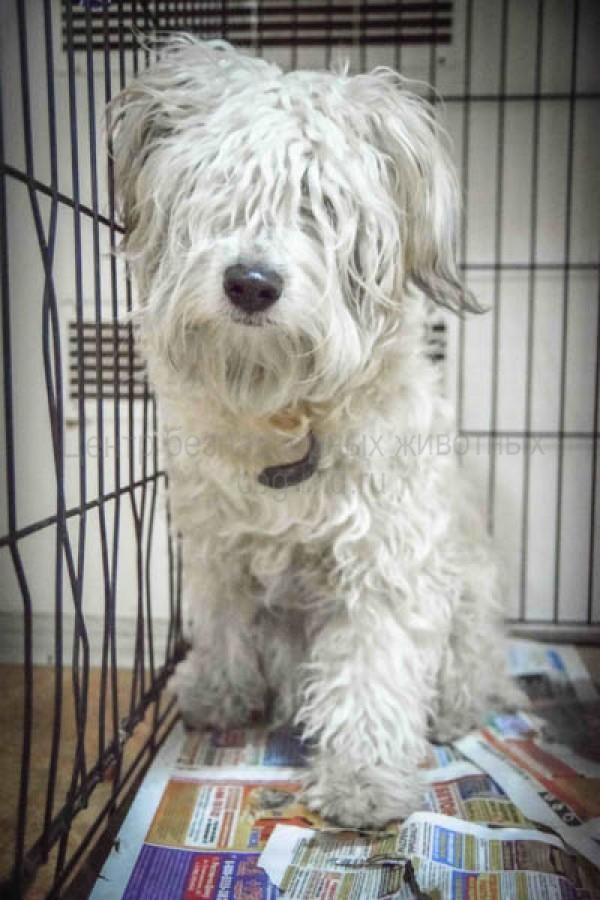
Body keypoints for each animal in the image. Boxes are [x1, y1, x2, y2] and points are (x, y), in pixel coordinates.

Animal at [109, 37, 519, 827]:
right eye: (218, 187)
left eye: (323, 205)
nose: (251, 283)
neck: (288, 415)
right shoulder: (217, 549)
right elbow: (223, 623)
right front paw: (218, 693)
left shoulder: (384, 563)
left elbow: (372, 672)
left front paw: (364, 780)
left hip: (473, 604)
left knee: (474, 672)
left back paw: (454, 713)